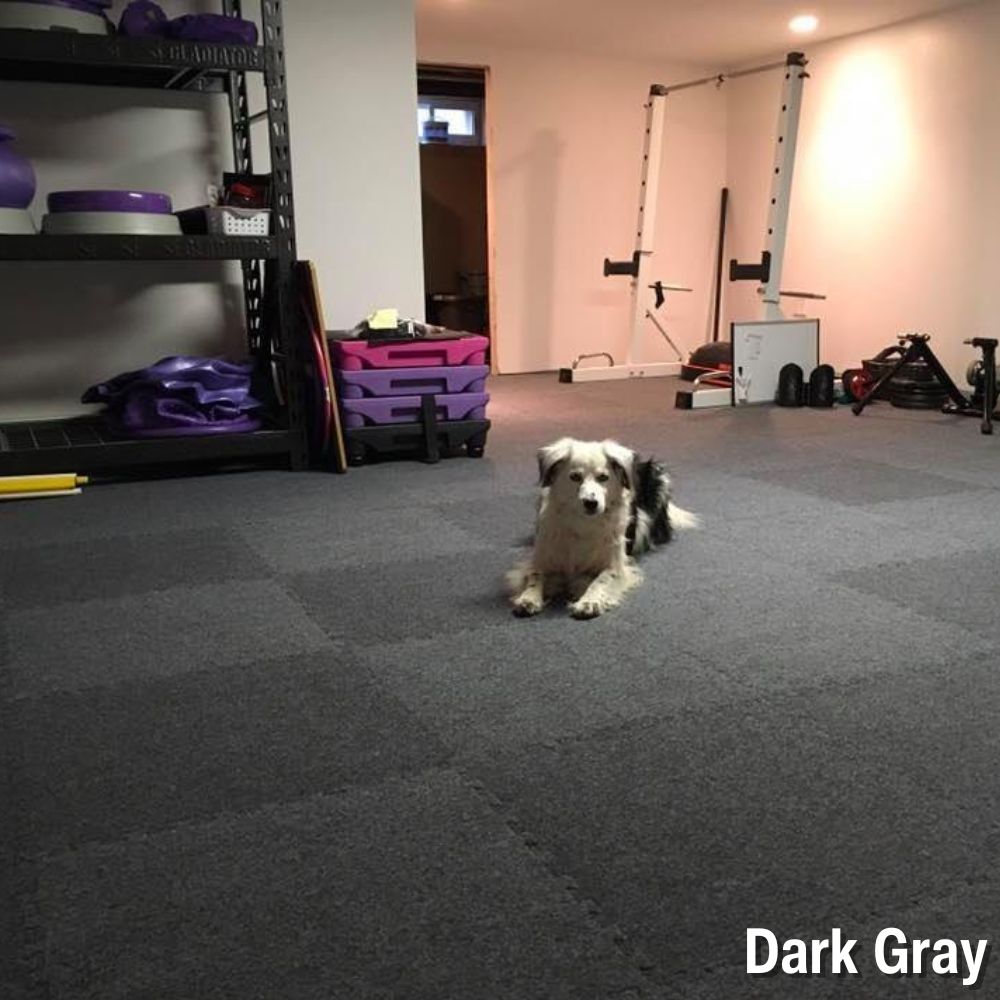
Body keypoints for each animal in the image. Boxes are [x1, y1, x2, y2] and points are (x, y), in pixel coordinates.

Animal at [508, 438, 696, 616]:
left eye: (603, 477)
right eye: (575, 476)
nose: (591, 503)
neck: (583, 523)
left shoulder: (616, 565)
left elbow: (602, 578)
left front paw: (589, 601)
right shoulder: (542, 558)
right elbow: (535, 575)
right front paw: (528, 598)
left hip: (660, 481)